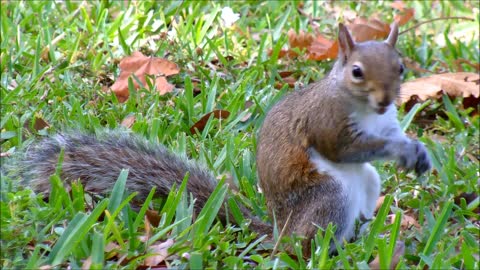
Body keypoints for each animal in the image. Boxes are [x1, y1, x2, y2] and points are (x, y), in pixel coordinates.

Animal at [10, 22, 432, 255]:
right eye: (357, 72)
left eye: (401, 67)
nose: (385, 99)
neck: (363, 108)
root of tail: (280, 230)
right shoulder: (325, 121)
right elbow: (341, 148)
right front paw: (398, 150)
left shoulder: (386, 121)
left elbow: (392, 134)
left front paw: (417, 151)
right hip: (329, 196)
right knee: (306, 243)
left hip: (365, 186)